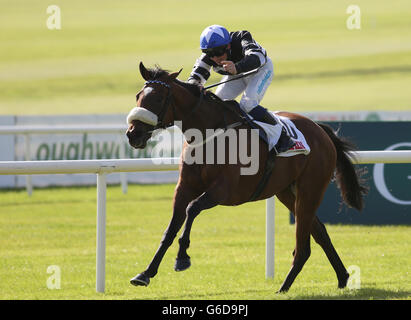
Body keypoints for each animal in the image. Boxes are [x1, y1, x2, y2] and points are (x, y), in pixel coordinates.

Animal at [125, 62, 366, 292]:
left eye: (157, 98)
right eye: (138, 95)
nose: (133, 134)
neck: (208, 133)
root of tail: (321, 130)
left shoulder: (224, 190)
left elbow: (192, 209)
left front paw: (182, 258)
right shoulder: (184, 187)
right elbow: (172, 227)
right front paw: (145, 274)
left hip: (311, 189)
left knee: (304, 246)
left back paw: (284, 286)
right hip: (287, 192)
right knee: (319, 232)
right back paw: (342, 277)